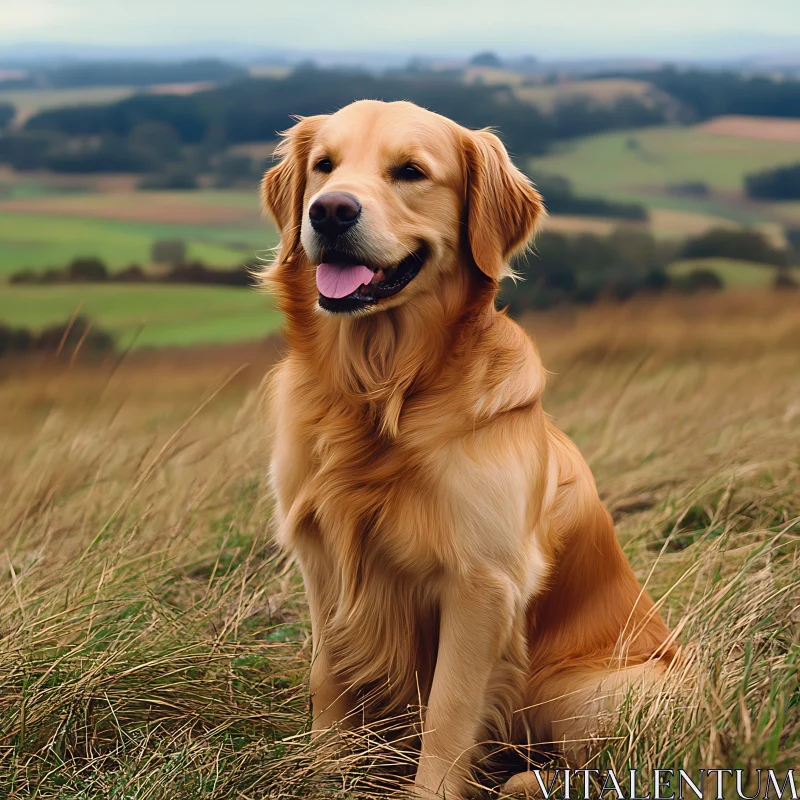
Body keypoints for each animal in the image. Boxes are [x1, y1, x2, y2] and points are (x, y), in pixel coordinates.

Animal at [260, 101, 672, 800]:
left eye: (410, 171)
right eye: (324, 166)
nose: (330, 211)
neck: (381, 392)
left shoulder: (482, 583)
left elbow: (450, 711)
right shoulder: (322, 561)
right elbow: (327, 677)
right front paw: (323, 772)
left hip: (590, 689)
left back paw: (527, 781)